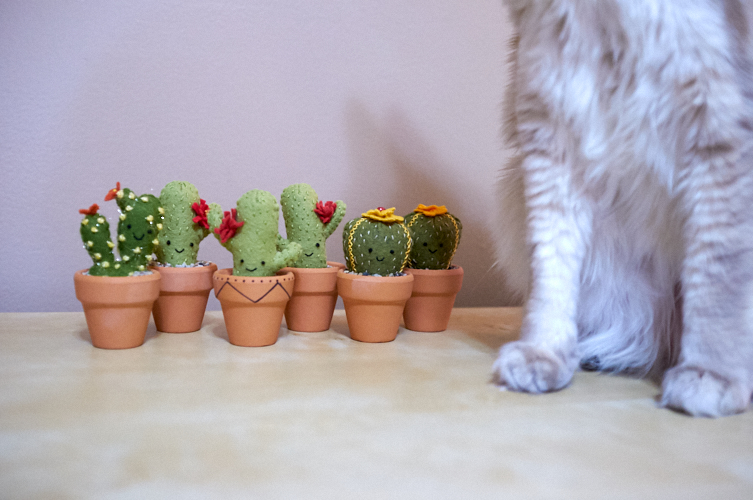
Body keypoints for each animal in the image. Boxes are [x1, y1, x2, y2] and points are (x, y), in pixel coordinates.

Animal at [494, 0, 752, 416]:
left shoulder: (721, 128)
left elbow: (718, 285)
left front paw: (710, 374)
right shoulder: (551, 120)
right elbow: (551, 275)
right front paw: (544, 352)